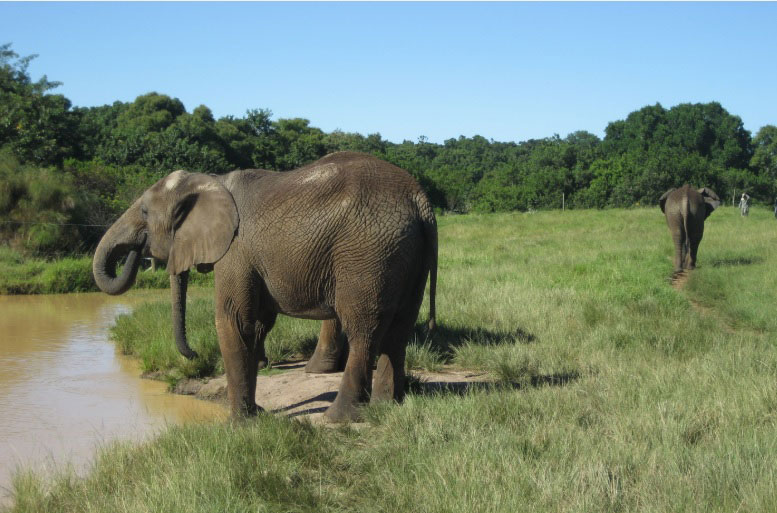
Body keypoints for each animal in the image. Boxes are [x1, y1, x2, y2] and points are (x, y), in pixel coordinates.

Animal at [91, 150, 436, 422]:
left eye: (144, 212)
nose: (193, 354)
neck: (211, 181)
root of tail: (420, 201)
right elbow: (257, 324)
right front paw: (256, 414)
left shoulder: (236, 250)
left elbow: (234, 320)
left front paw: (239, 424)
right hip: (402, 253)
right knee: (399, 329)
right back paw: (386, 407)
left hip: (367, 254)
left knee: (364, 331)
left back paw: (338, 417)